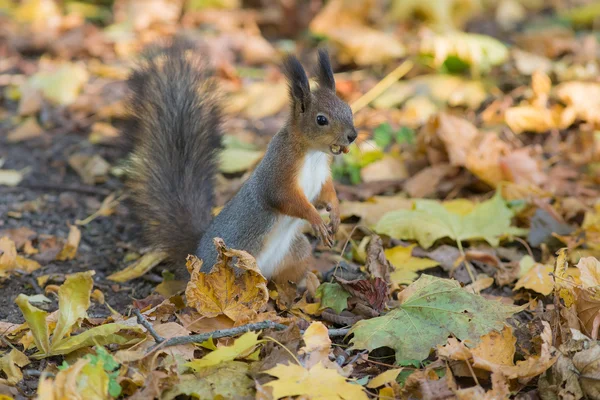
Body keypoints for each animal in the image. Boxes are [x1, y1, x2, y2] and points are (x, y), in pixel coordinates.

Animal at [122, 39, 356, 284]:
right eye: (321, 120)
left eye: (348, 109)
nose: (353, 136)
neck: (312, 155)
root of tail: (196, 257)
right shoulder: (278, 171)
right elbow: (285, 198)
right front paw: (316, 219)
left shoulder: (321, 176)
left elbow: (326, 193)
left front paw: (335, 214)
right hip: (233, 267)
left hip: (297, 252)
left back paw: (309, 283)